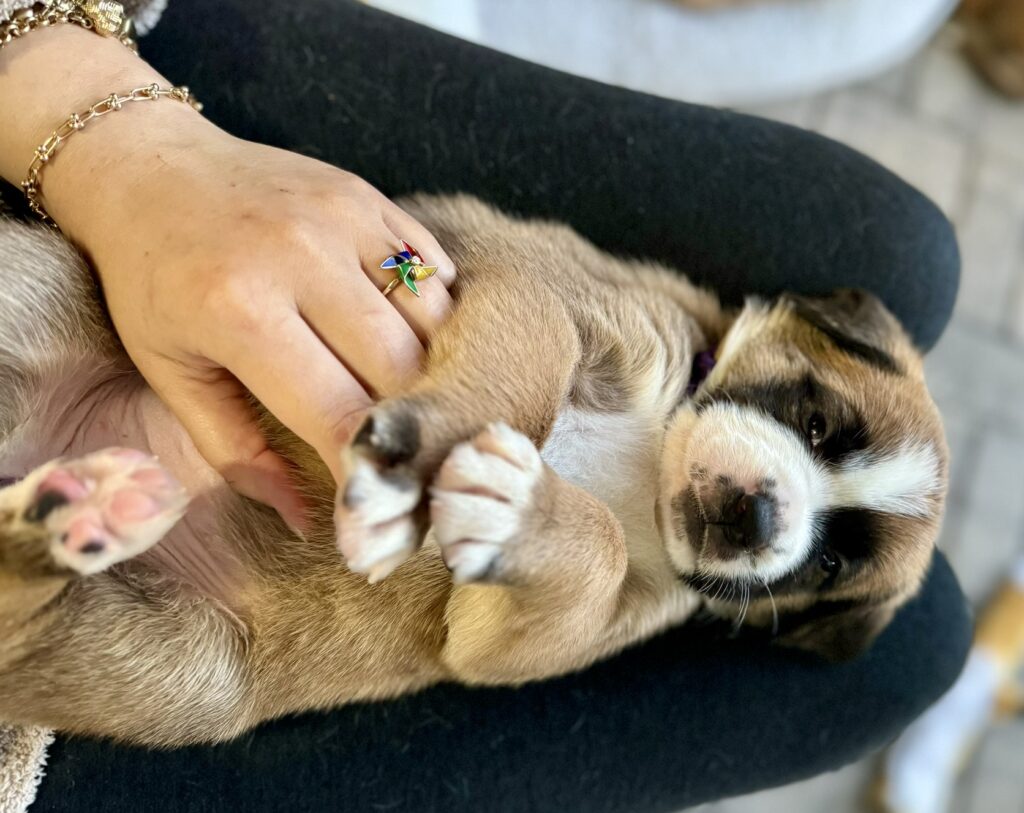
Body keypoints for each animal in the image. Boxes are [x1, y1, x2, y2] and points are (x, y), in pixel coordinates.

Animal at [0, 193, 946, 745]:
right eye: (820, 422)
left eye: (830, 561)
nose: (756, 517)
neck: (647, 466)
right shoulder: (541, 290)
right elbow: (538, 354)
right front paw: (421, 457)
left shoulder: (526, 636)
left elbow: (585, 565)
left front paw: (517, 509)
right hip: (34, 280)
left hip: (182, 671)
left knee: (20, 619)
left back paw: (78, 515)